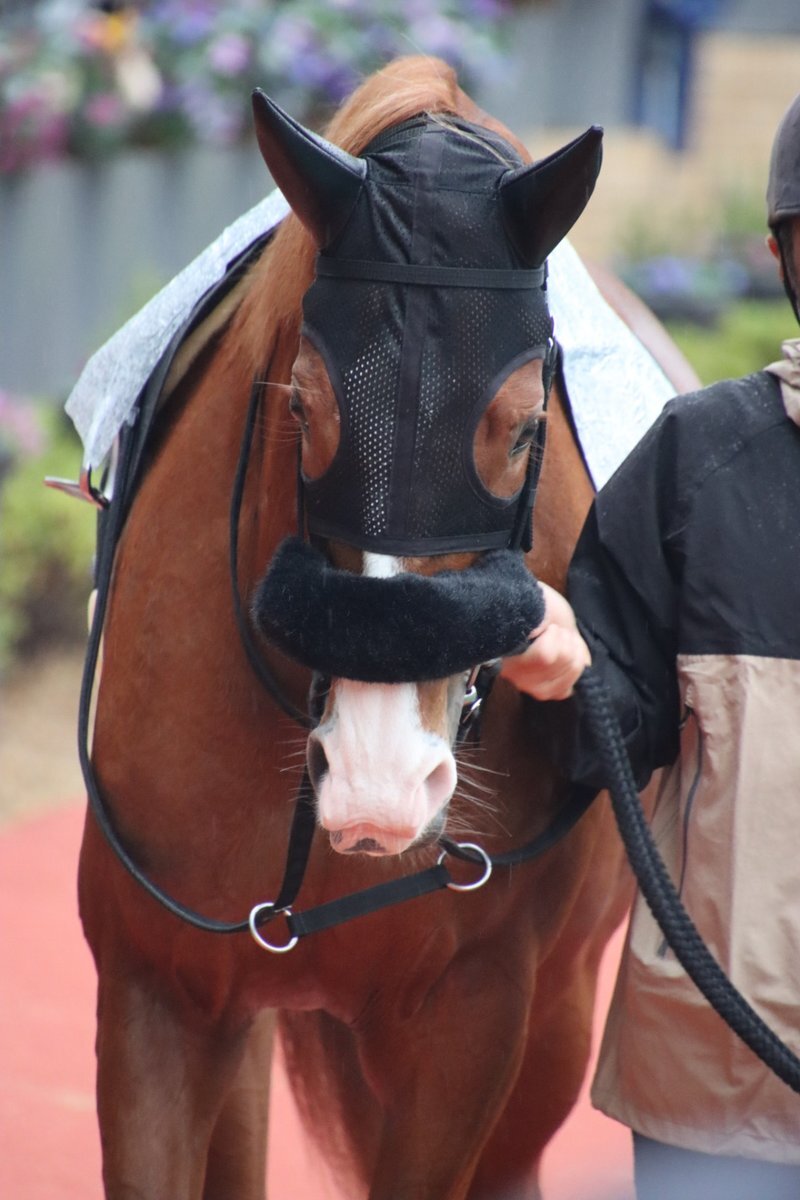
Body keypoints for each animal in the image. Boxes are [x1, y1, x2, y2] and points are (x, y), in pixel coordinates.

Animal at [77, 56, 697, 1200]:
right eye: (302, 409)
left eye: (525, 427)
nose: (378, 777)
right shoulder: (157, 997)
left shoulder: (472, 1023)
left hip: (554, 1024)